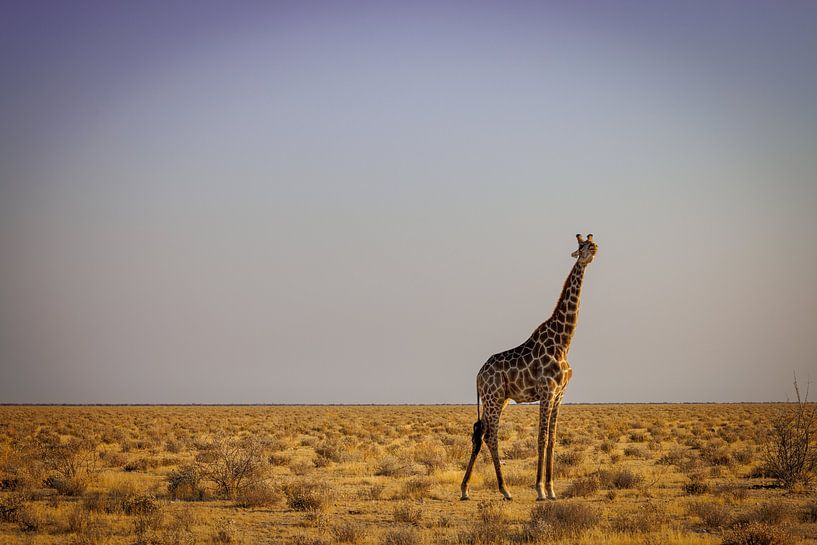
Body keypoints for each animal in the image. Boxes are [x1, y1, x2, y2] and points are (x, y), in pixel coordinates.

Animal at [460, 233, 598, 501]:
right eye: (581, 246)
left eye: (590, 240)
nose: (594, 248)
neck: (563, 342)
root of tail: (478, 375)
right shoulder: (547, 391)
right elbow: (541, 438)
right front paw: (540, 490)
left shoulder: (560, 394)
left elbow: (553, 439)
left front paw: (552, 489)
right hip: (493, 398)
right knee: (491, 436)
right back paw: (505, 490)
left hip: (500, 398)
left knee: (479, 433)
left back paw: (465, 489)